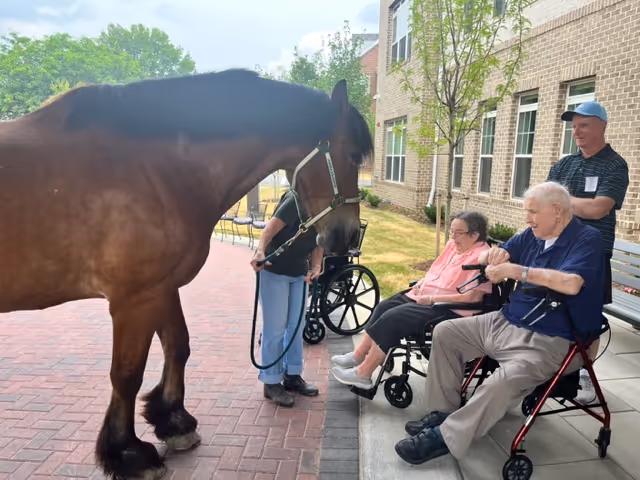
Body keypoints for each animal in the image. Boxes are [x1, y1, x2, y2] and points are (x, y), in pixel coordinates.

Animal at [0, 68, 373, 479]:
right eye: (351, 155)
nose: (347, 236)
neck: (153, 171)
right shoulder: (133, 300)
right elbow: (127, 375)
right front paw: (129, 453)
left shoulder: (161, 289)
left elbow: (178, 346)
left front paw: (173, 422)